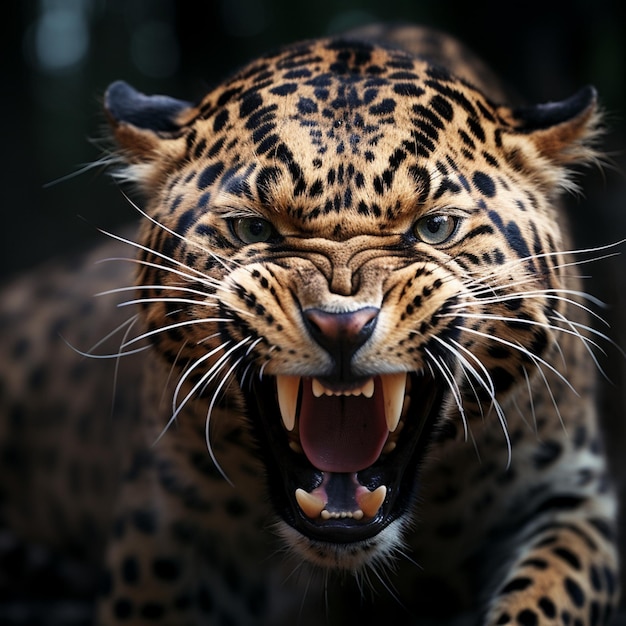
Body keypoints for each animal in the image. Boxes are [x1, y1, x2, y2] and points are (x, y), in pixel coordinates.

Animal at [0, 23, 616, 624]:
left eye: (436, 227)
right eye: (252, 229)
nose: (342, 325)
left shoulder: (568, 495)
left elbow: (545, 600)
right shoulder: (166, 518)